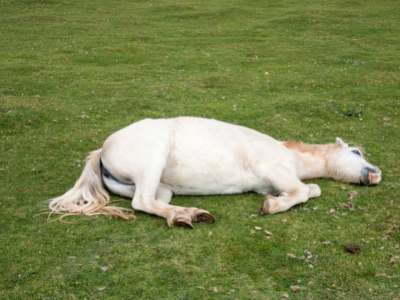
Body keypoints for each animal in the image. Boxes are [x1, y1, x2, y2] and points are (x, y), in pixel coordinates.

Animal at [50, 116, 382, 227]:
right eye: (356, 152)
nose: (376, 173)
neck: (289, 155)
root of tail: (103, 150)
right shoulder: (273, 170)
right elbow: (303, 190)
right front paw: (272, 206)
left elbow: (311, 189)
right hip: (153, 158)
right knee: (141, 202)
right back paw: (186, 216)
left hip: (159, 186)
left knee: (154, 202)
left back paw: (187, 214)